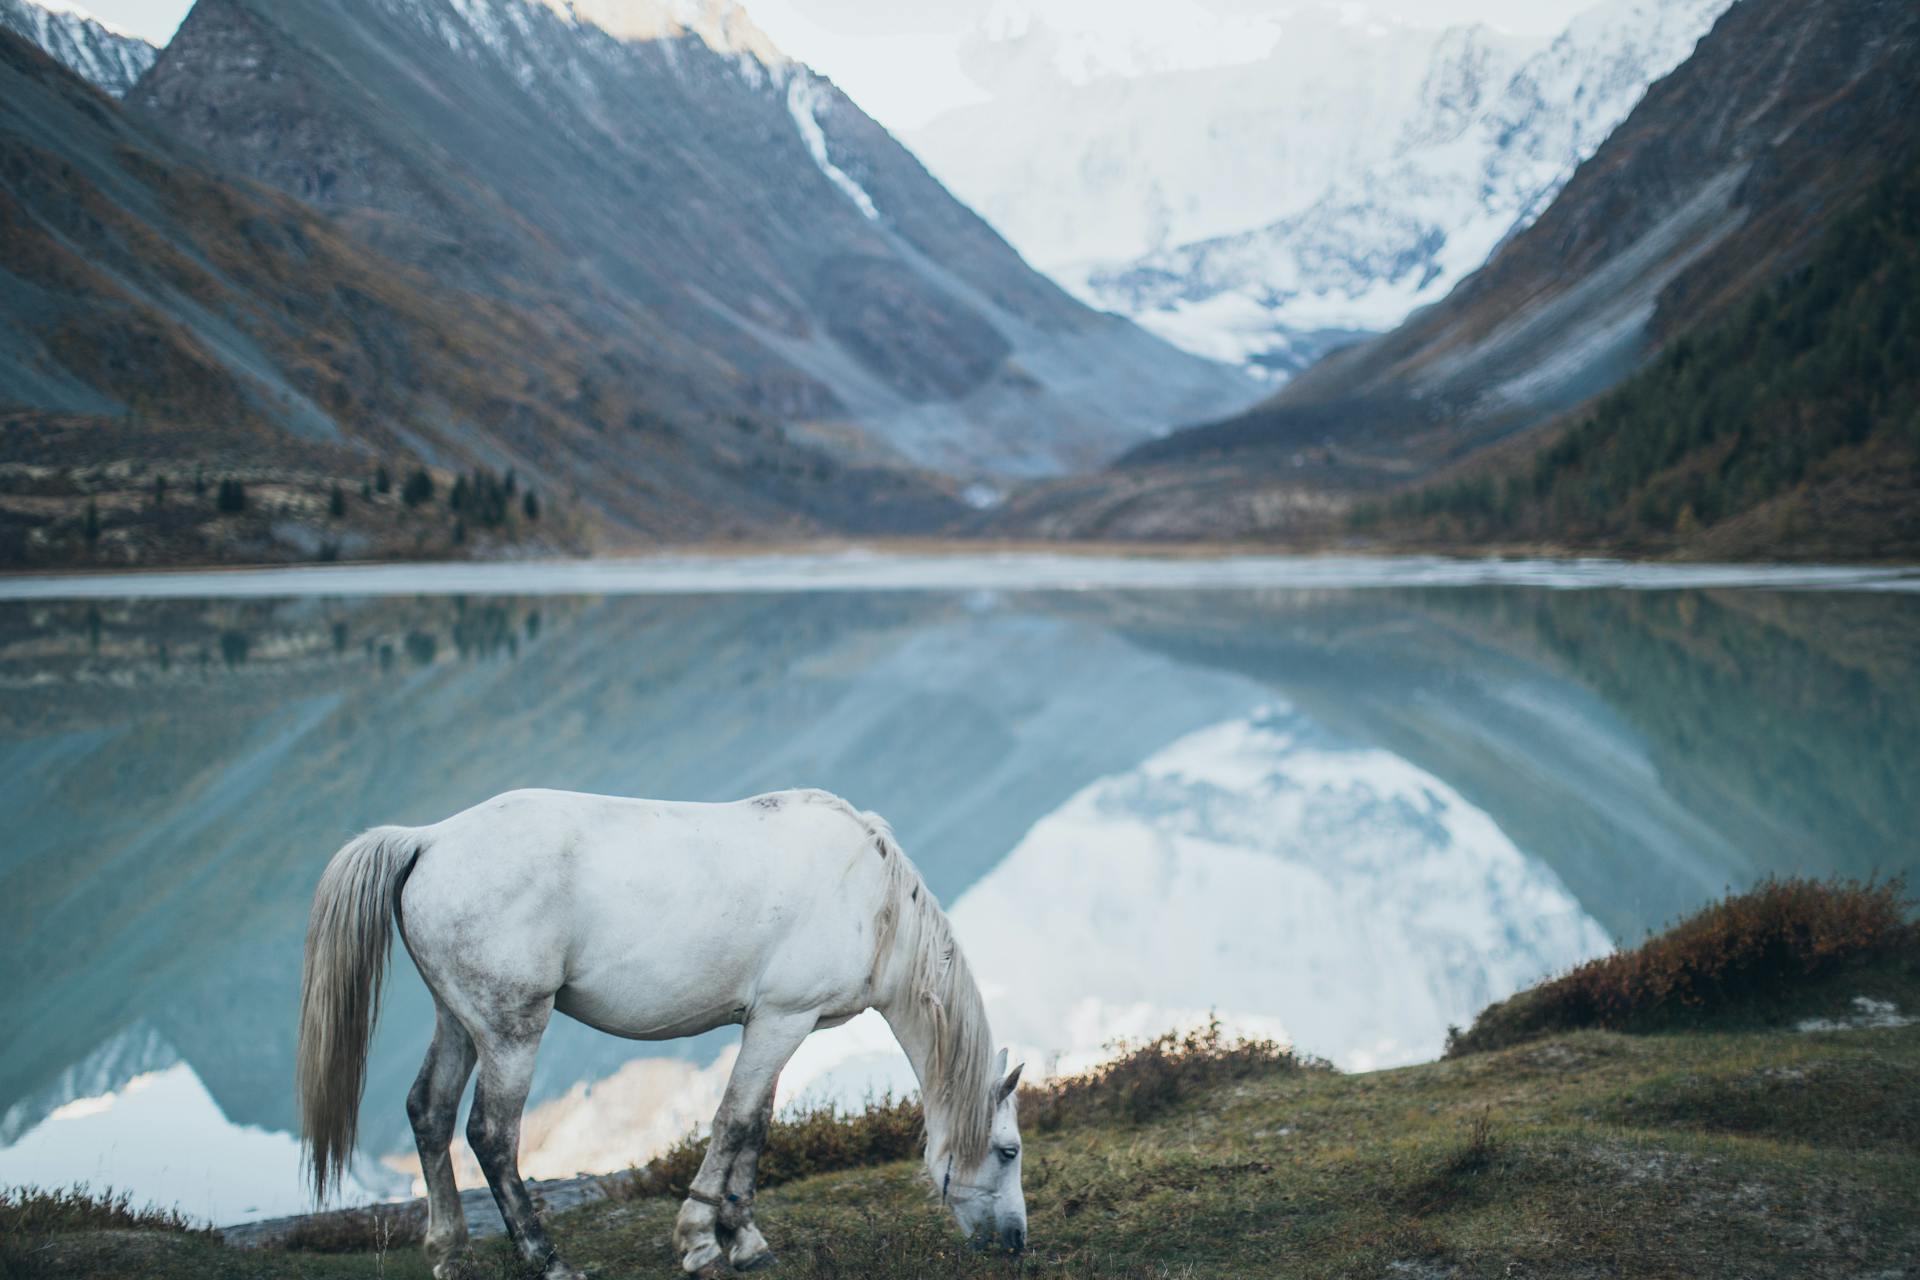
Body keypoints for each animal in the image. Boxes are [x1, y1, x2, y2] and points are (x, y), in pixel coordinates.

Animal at [296, 787, 1027, 1278]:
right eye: (1009, 1151)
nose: (1016, 1243)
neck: (873, 904)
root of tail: (428, 839)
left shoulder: (778, 1025)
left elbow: (756, 1127)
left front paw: (744, 1239)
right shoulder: (782, 1019)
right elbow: (734, 1122)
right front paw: (700, 1241)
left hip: (457, 1022)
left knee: (429, 1112)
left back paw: (451, 1254)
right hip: (509, 1032)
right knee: (491, 1135)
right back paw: (547, 1259)